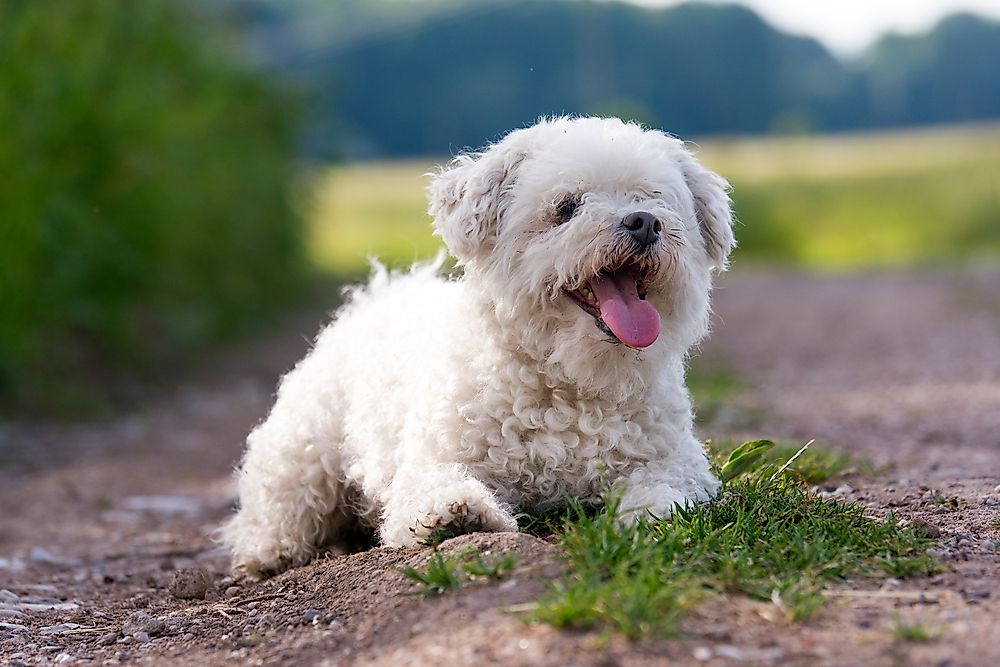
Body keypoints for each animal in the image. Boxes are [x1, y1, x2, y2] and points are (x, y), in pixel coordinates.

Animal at [227, 117, 736, 576]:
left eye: (654, 199)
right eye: (566, 207)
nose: (644, 222)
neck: (569, 382)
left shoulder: (675, 459)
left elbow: (665, 486)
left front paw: (653, 510)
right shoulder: (433, 459)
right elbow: (433, 487)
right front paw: (454, 512)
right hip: (303, 452)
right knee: (278, 507)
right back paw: (272, 552)